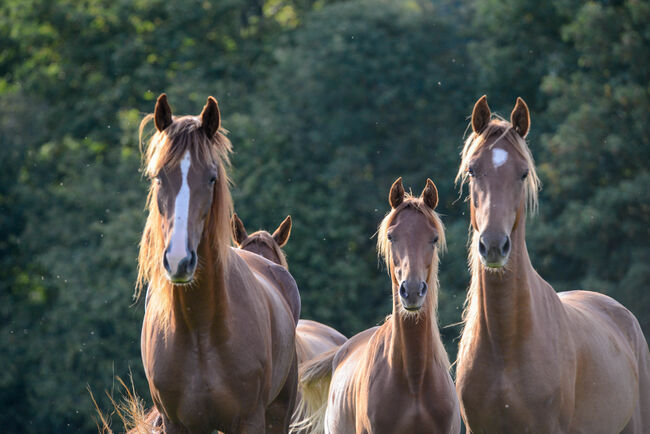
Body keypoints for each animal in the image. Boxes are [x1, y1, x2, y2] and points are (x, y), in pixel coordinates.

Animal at [138, 93, 300, 432]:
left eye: (211, 178)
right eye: (159, 176)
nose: (179, 260)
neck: (200, 326)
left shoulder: (251, 420)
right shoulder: (177, 424)